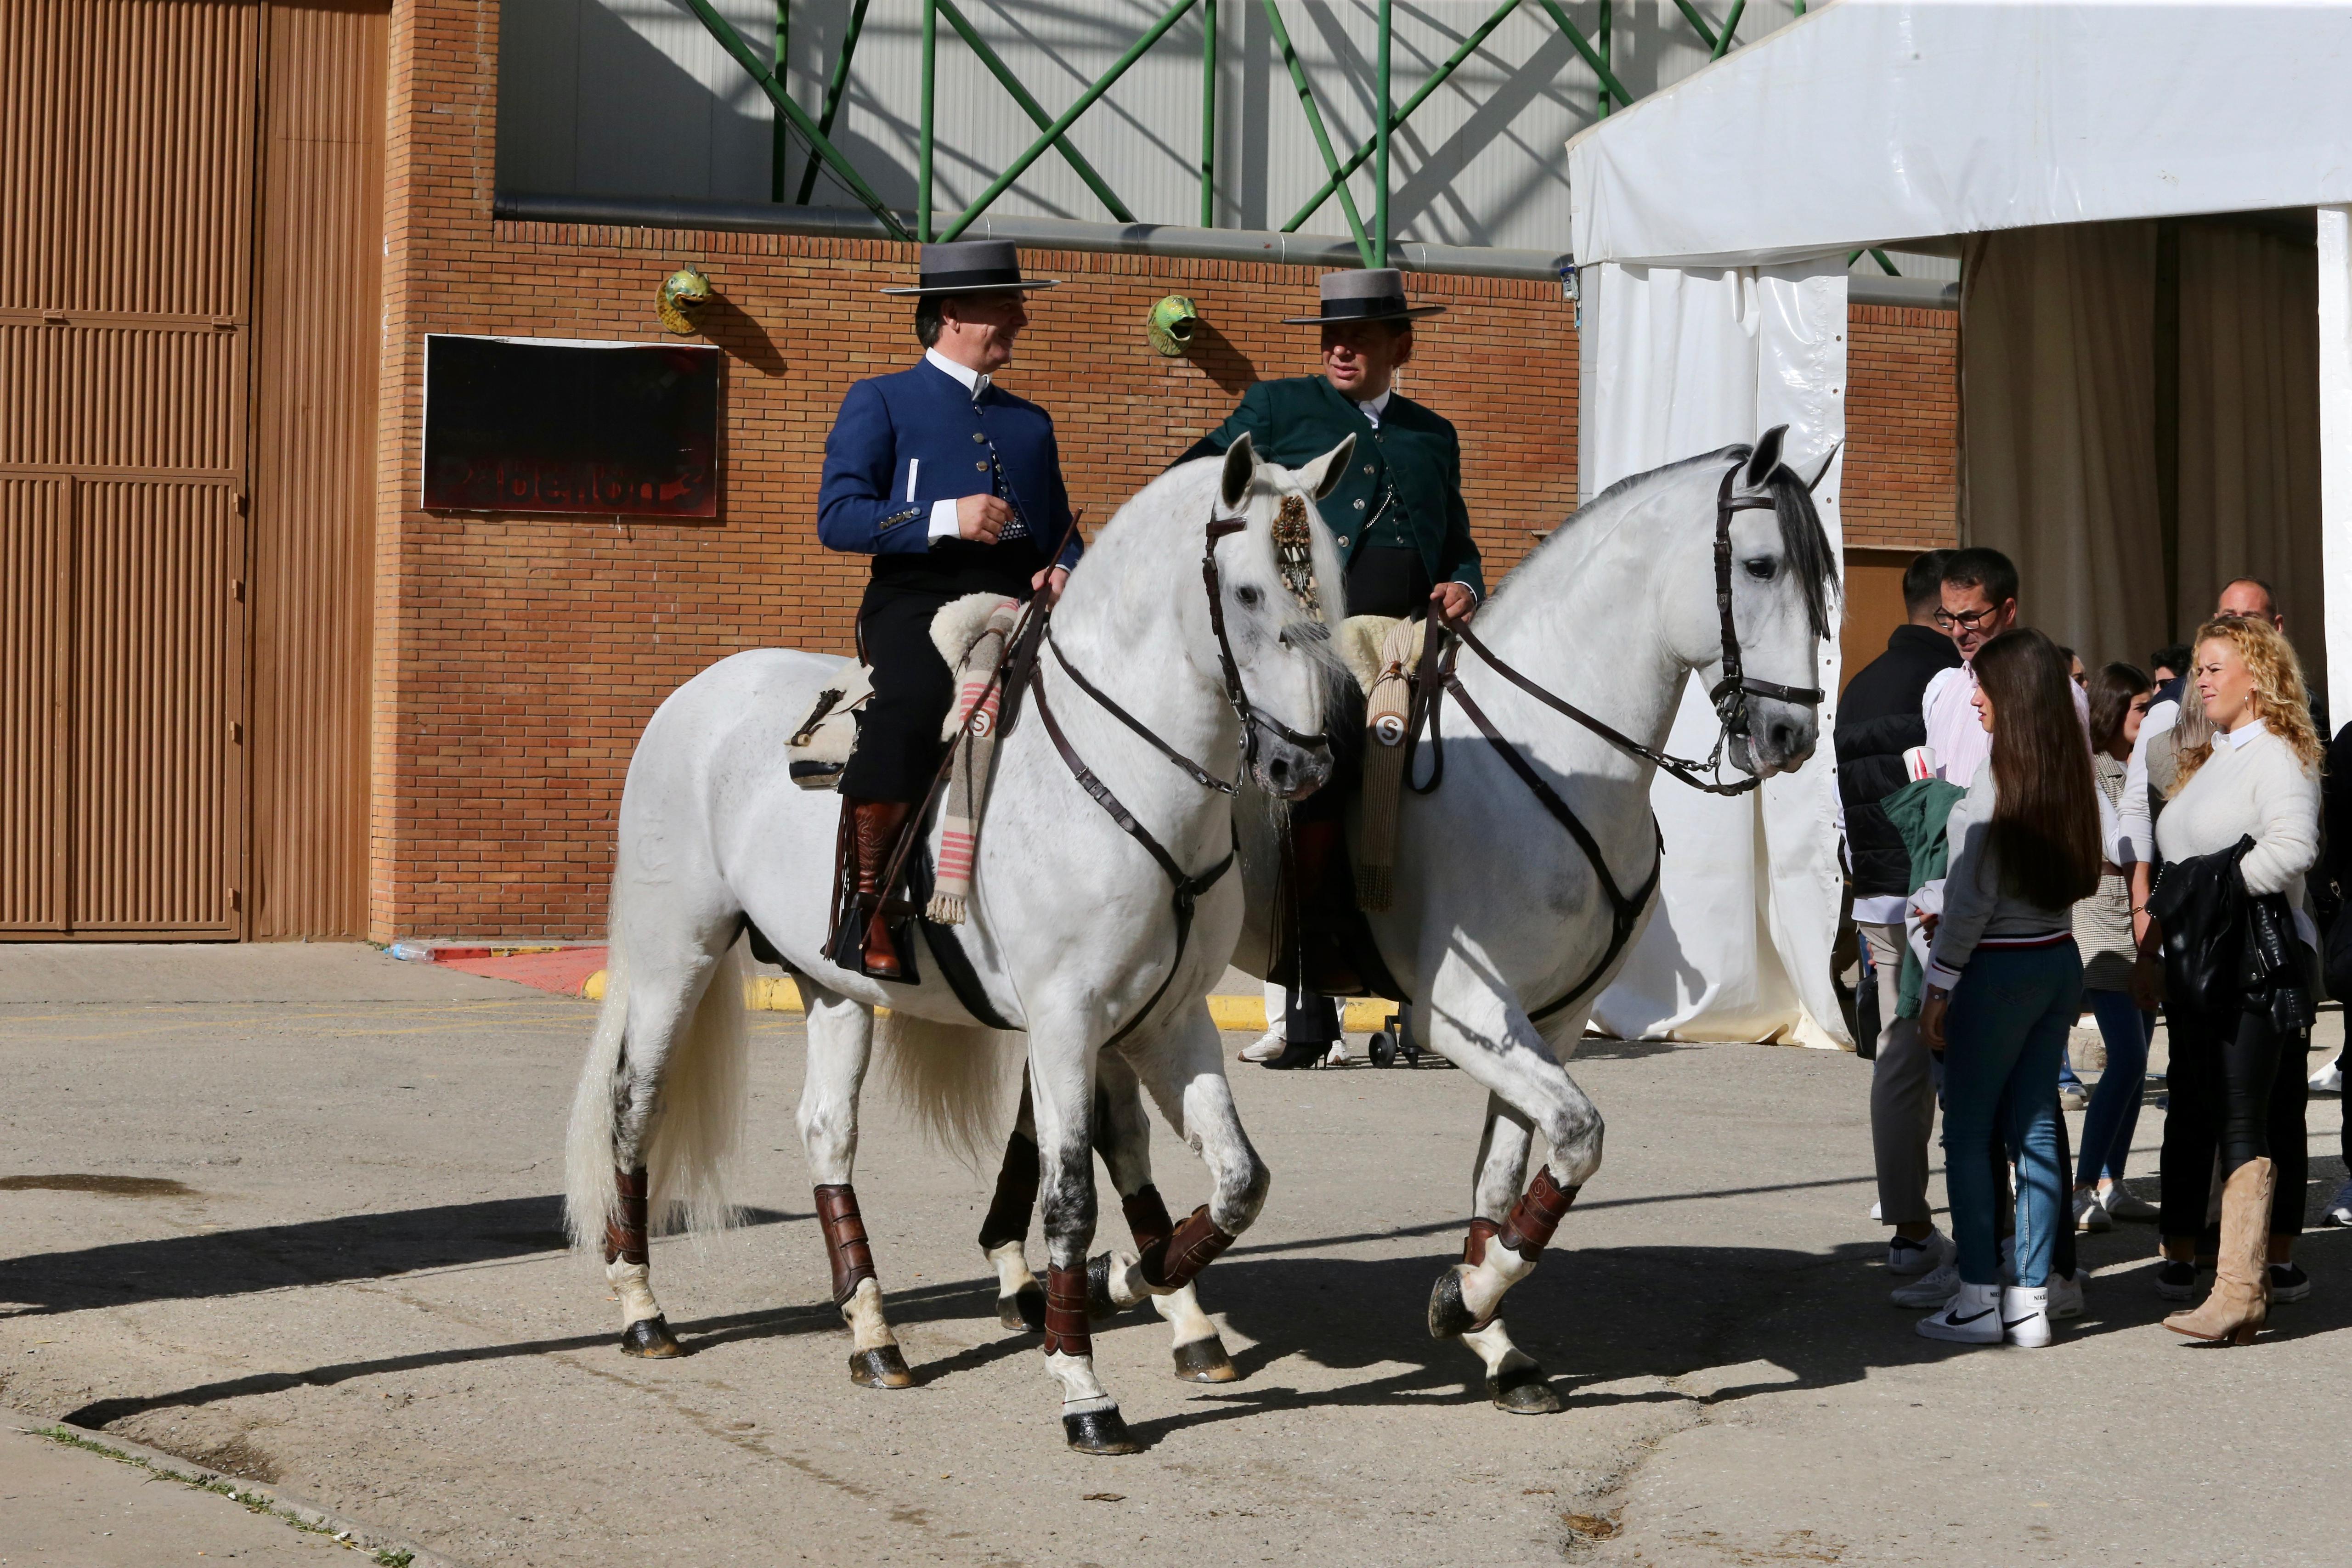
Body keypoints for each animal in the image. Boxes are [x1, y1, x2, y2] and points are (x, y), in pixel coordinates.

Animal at [557, 432, 1355, 1457]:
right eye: (1250, 592)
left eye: (1328, 584)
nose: (1305, 763)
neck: (1125, 770)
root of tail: (697, 692)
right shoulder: (1065, 1023)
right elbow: (1071, 1194)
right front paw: (1084, 1383)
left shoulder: (1166, 1020)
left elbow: (1234, 1181)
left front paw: (1144, 1286)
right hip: (675, 958)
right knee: (635, 1106)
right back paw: (642, 1306)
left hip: (835, 986)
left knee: (827, 1128)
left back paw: (873, 1332)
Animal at [969, 425, 1834, 1410]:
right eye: (1763, 564)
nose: (1791, 736)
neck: (1552, 757)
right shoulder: (1459, 1012)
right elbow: (1580, 1136)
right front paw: (1471, 1300)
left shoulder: (1551, 1022)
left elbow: (1505, 1177)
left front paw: (1490, 1329)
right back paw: (1057, 1279)